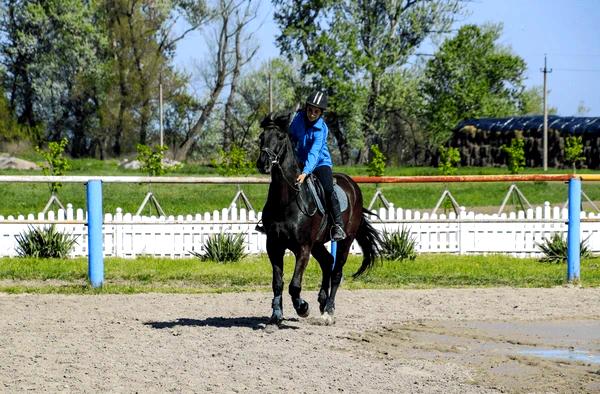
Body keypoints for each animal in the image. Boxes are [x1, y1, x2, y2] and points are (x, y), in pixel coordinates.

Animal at [256, 112, 380, 324]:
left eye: (280, 137)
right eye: (261, 137)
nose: (262, 163)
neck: (286, 199)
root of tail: (352, 185)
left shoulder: (303, 248)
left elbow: (294, 285)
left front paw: (302, 307)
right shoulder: (274, 246)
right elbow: (278, 282)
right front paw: (276, 314)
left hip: (345, 240)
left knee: (336, 272)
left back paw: (328, 310)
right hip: (317, 244)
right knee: (327, 262)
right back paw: (322, 302)